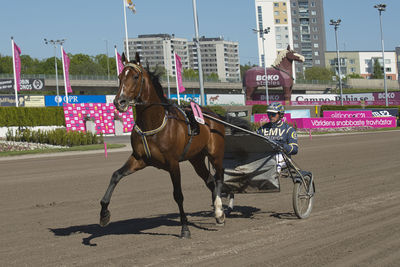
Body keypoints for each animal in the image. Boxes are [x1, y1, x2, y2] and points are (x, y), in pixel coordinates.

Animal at [99, 52, 227, 239]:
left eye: (135, 77)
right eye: (119, 77)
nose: (119, 102)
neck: (153, 124)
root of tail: (213, 115)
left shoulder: (173, 163)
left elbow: (178, 195)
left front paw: (185, 228)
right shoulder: (139, 159)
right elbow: (116, 176)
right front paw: (103, 213)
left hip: (215, 153)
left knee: (219, 177)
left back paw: (219, 211)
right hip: (196, 159)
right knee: (210, 180)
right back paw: (219, 212)